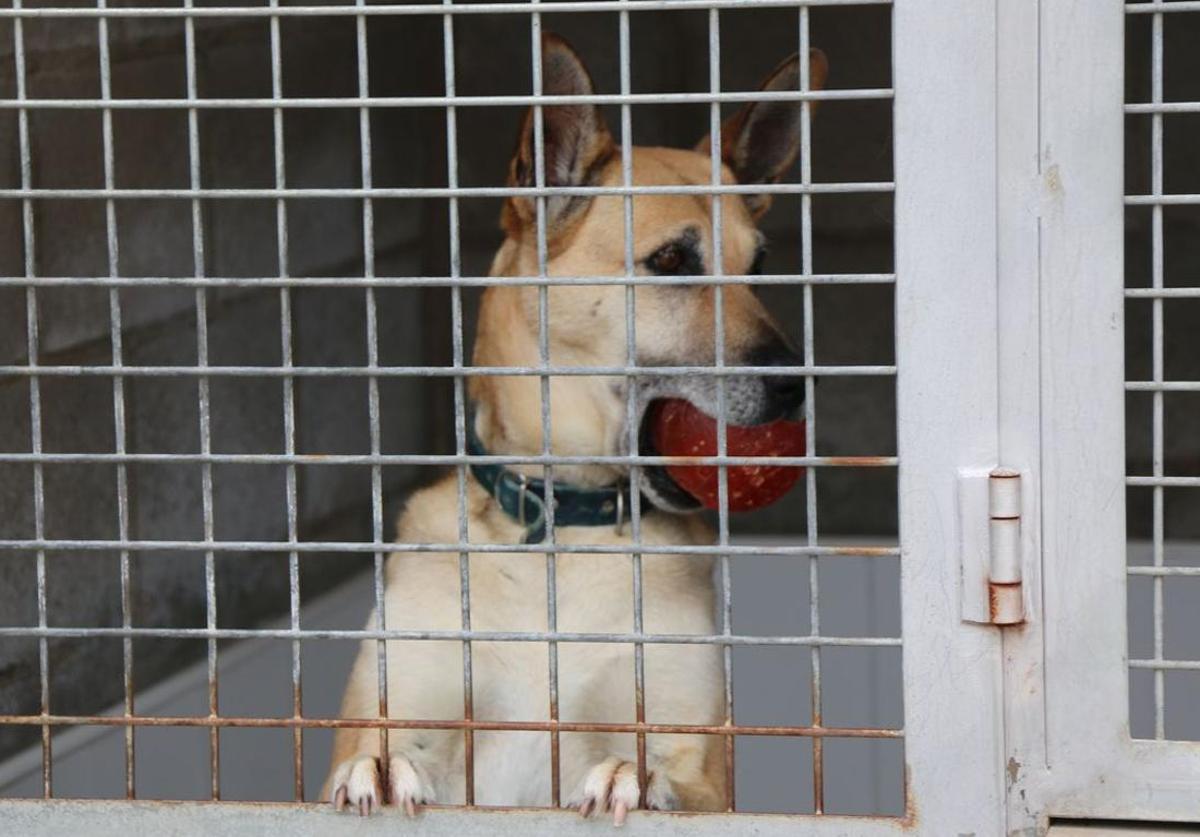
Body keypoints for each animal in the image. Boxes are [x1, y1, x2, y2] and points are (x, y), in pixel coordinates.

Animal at [321, 31, 825, 820]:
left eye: (761, 267)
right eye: (672, 260)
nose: (794, 386)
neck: (564, 529)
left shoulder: (697, 755)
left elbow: (672, 772)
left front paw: (637, 779)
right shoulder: (401, 698)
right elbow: (383, 749)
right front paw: (380, 767)